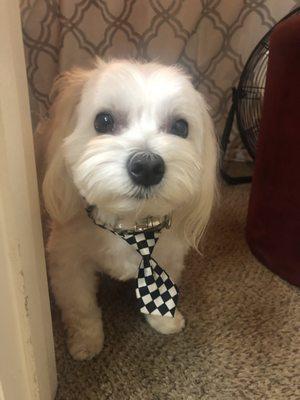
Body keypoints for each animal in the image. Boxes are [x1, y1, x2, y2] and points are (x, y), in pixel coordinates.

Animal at [41, 57, 217, 360]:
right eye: (103, 121)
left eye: (181, 127)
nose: (147, 166)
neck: (130, 226)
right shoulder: (68, 262)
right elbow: (80, 307)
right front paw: (86, 342)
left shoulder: (169, 256)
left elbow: (161, 289)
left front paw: (165, 321)